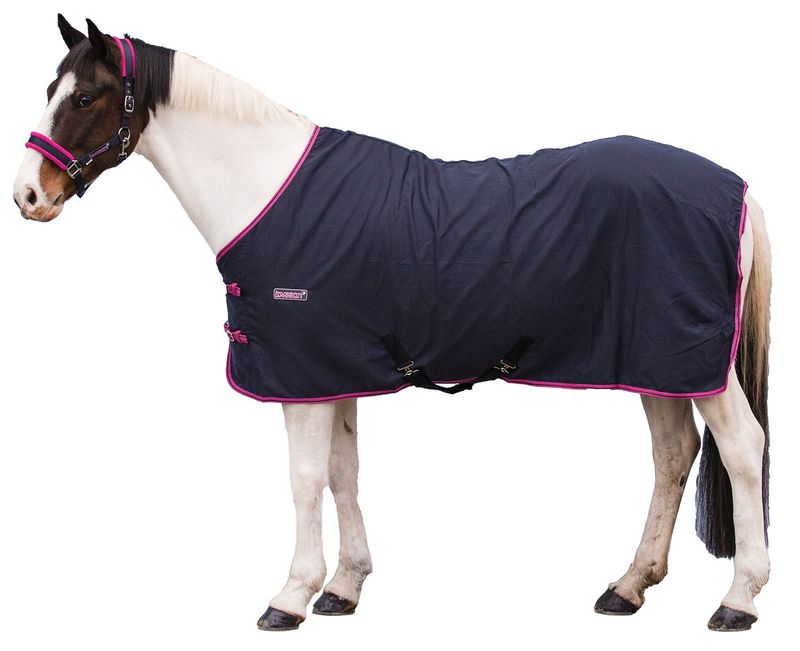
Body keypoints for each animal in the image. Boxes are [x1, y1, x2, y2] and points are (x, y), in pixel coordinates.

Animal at [13, 15, 771, 633]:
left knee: (741, 448)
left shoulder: (300, 375)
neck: (268, 187)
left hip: (696, 365)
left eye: (85, 97)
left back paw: (738, 598)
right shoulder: (333, 371)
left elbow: (304, 478)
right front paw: (343, 588)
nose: (27, 196)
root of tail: (735, 190)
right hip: (657, 361)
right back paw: (629, 585)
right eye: (51, 88)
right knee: (673, 455)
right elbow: (343, 473)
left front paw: (289, 595)